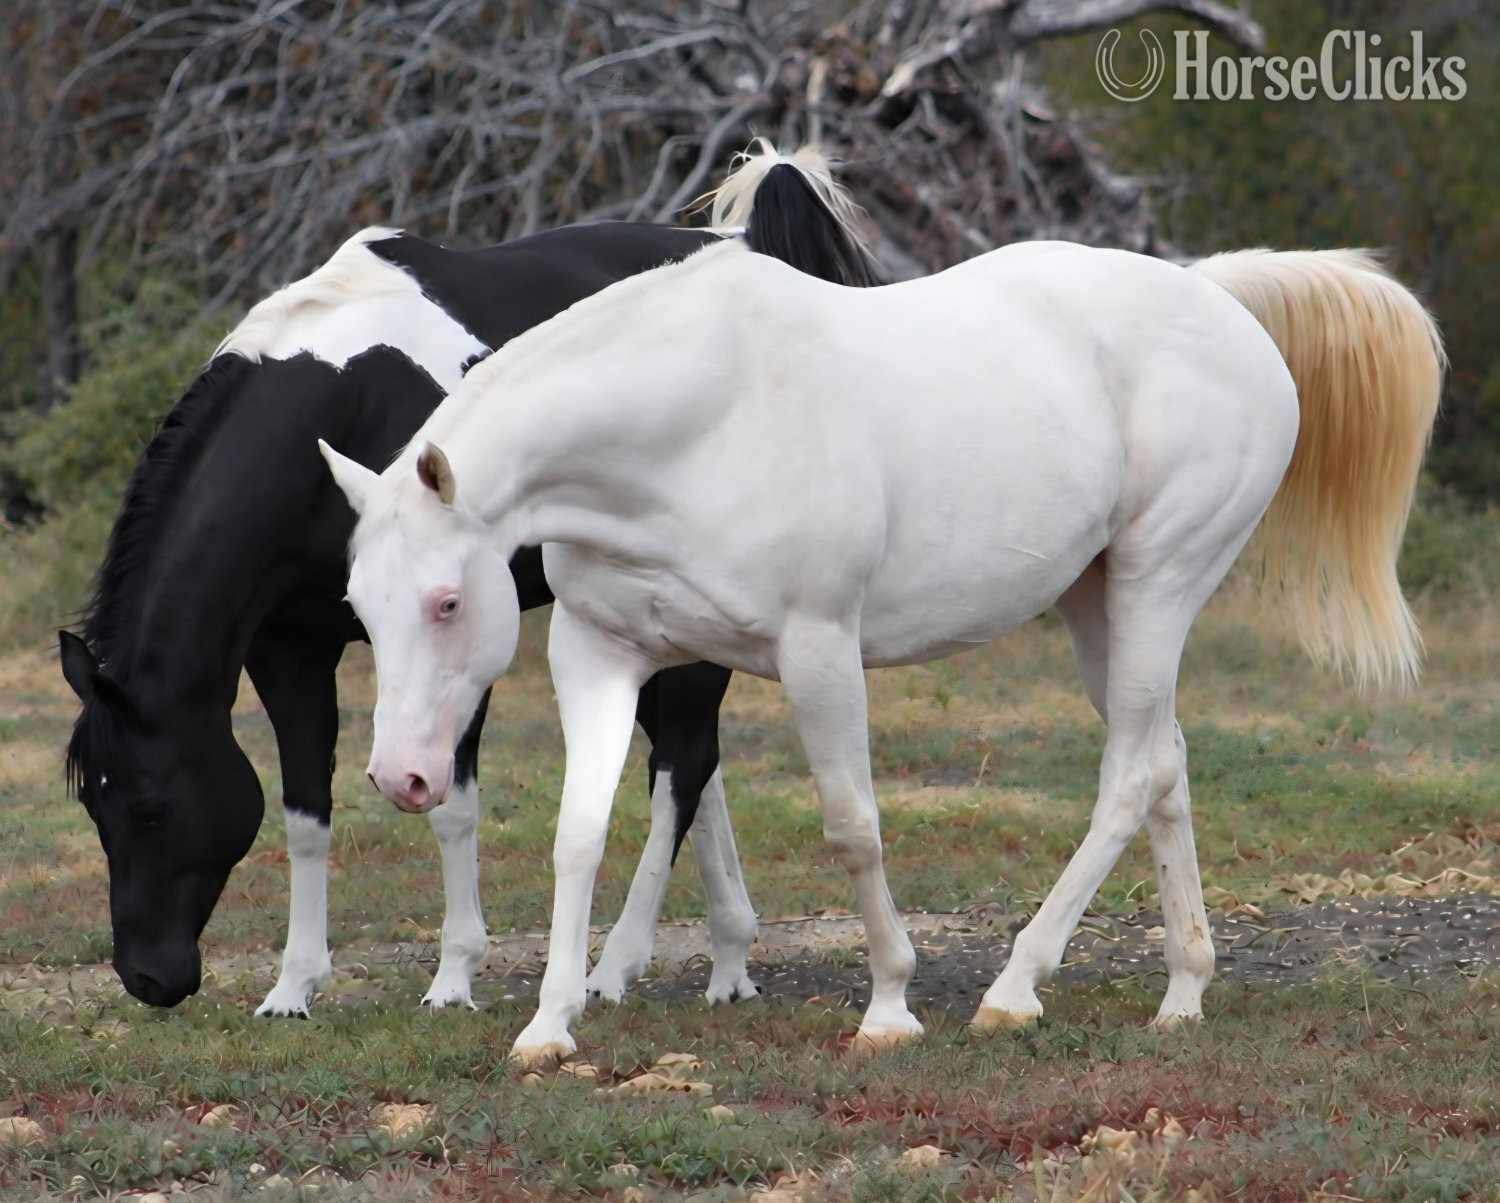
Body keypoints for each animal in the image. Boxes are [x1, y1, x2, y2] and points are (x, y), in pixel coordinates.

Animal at [59, 142, 884, 1016]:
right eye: (93, 805)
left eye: (150, 807)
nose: (148, 976)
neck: (340, 399)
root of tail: (747, 244)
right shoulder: (291, 650)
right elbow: (305, 810)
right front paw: (294, 983)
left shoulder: (461, 639)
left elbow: (451, 803)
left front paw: (454, 973)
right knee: (694, 756)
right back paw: (728, 958)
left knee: (683, 764)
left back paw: (617, 965)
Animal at [325, 239, 1443, 1065]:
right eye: (361, 607)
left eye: (447, 600)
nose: (401, 777)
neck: (702, 417)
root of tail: (1215, 298)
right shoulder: (599, 657)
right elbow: (578, 836)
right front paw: (549, 1024)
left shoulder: (820, 653)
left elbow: (852, 827)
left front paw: (891, 1005)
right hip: (1103, 606)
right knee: (1162, 762)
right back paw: (1183, 990)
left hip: (1159, 585)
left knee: (1127, 777)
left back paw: (1015, 988)